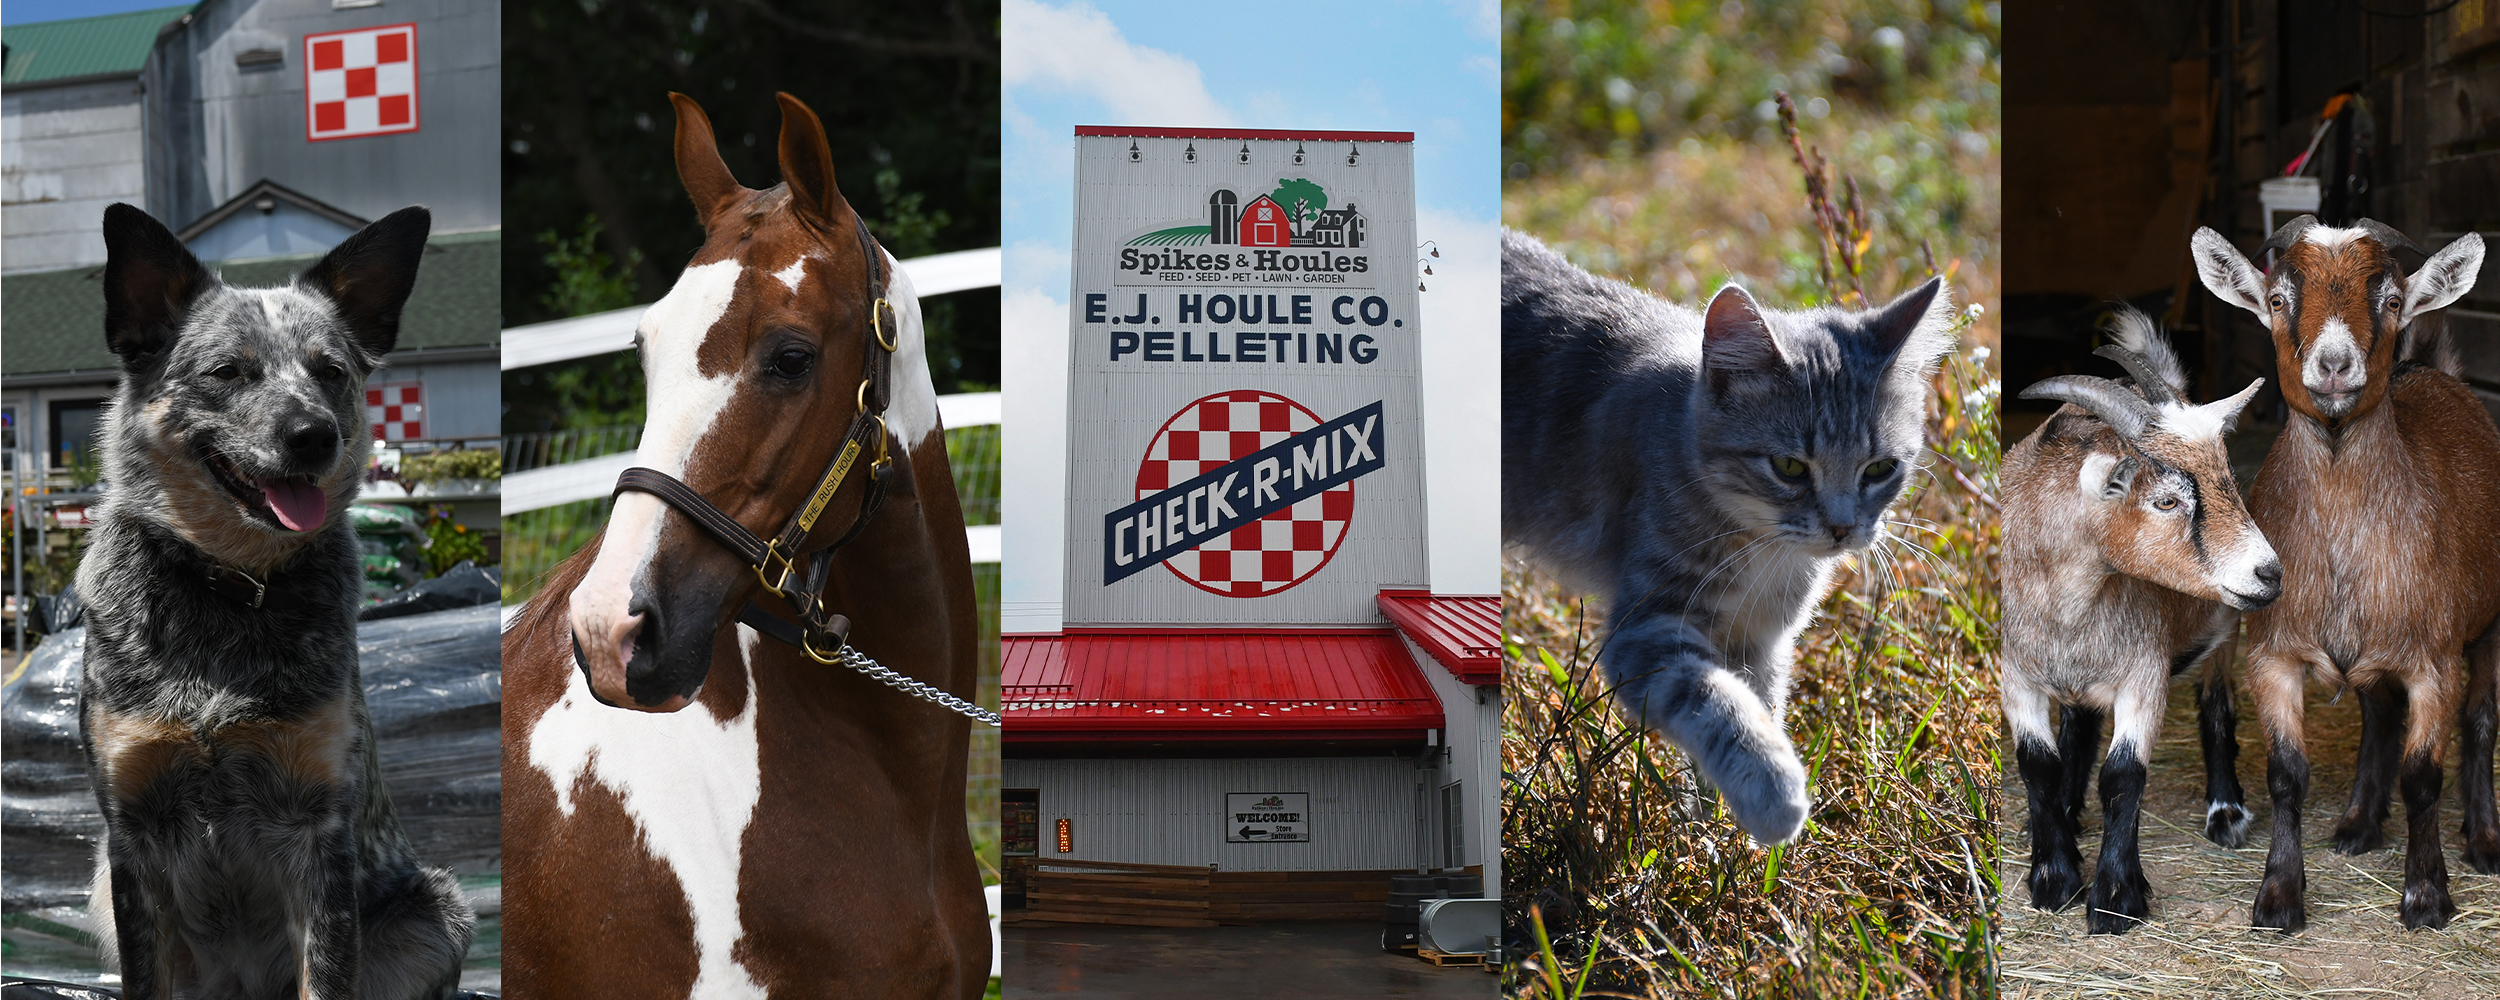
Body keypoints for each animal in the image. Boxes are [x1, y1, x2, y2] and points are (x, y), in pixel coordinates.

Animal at [75, 202, 472, 1000]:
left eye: (331, 372)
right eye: (228, 371)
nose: (313, 435)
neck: (231, 586)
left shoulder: (319, 831)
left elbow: (325, 975)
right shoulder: (130, 834)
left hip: (440, 914)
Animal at [1490, 228, 1960, 845]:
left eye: (1880, 469)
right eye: (1789, 467)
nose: (1841, 527)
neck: (1765, 550)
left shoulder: (1761, 641)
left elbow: (1757, 704)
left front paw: (1719, 831)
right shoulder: (1645, 630)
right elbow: (1715, 700)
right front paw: (1773, 794)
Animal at [2190, 215, 2500, 935]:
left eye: (2391, 299)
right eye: (2278, 299)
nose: (2333, 364)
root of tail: (2432, 369)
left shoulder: (2433, 660)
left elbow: (2423, 778)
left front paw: (2426, 897)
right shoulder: (2273, 655)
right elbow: (2285, 774)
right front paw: (2278, 897)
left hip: (2491, 622)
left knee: (2481, 721)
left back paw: (2484, 841)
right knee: (2379, 717)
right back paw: (2359, 823)